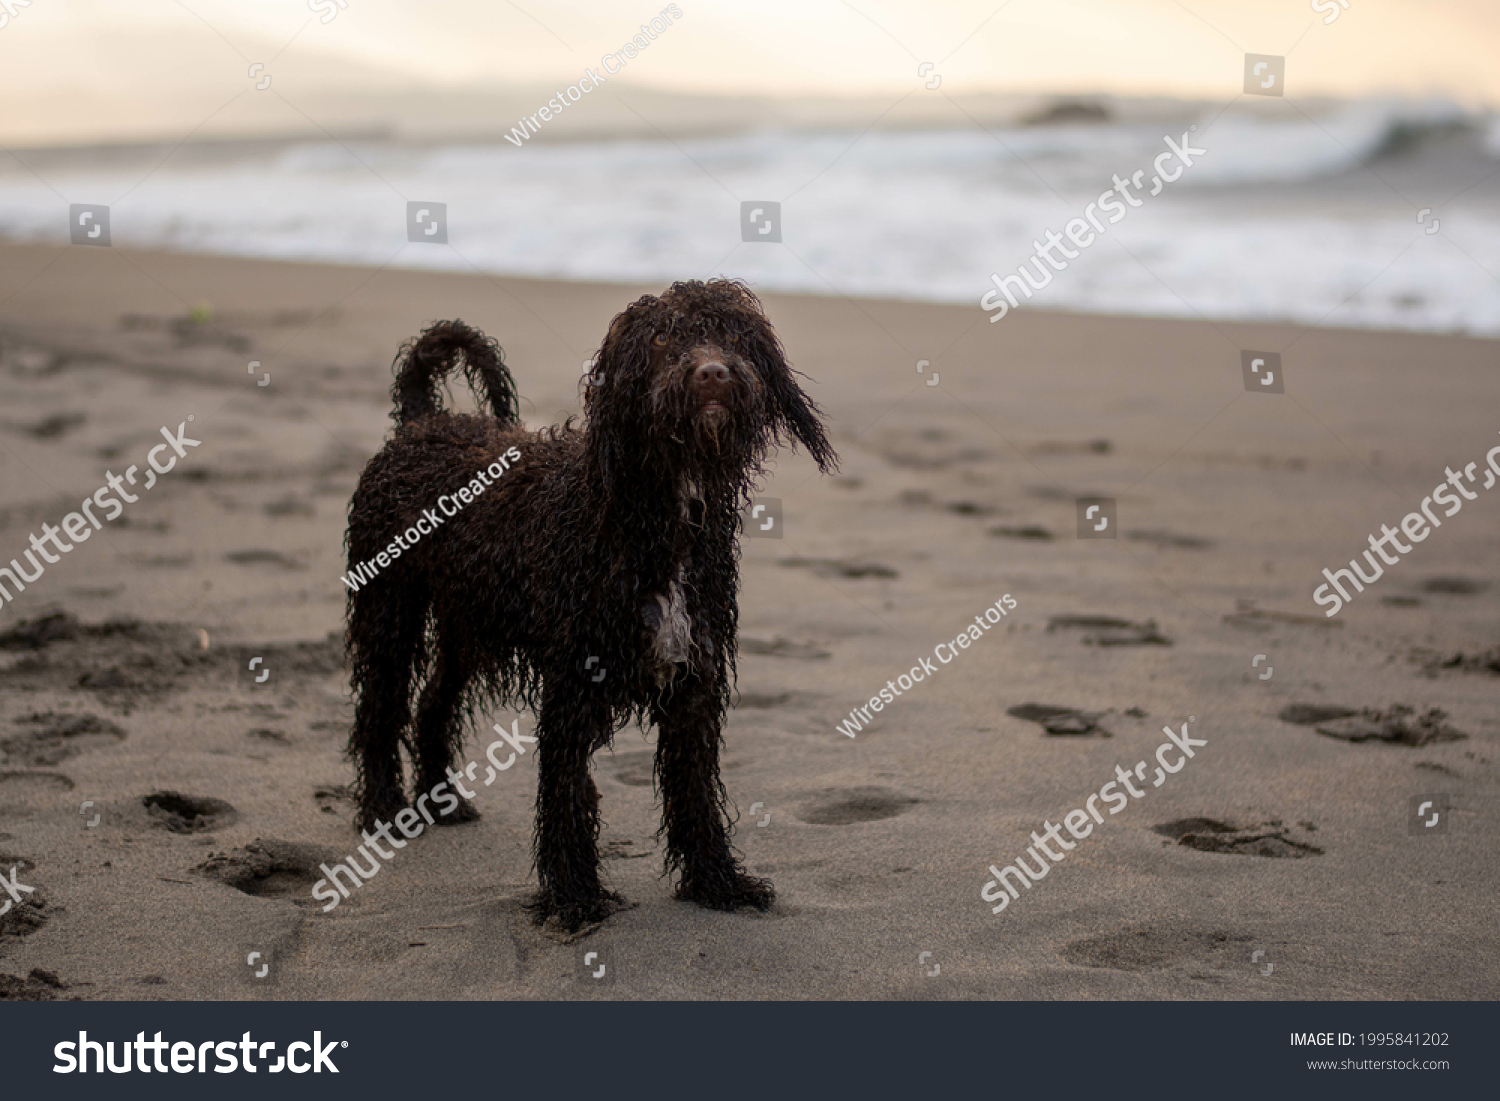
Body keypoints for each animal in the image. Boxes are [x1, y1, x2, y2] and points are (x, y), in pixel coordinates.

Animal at [343, 277, 840, 930]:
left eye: (731, 335)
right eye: (661, 340)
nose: (712, 373)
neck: (650, 512)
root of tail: (422, 422)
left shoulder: (695, 681)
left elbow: (696, 793)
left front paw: (717, 882)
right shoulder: (575, 681)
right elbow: (566, 791)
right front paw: (574, 895)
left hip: (467, 623)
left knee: (432, 705)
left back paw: (442, 802)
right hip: (389, 607)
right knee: (380, 709)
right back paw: (382, 809)